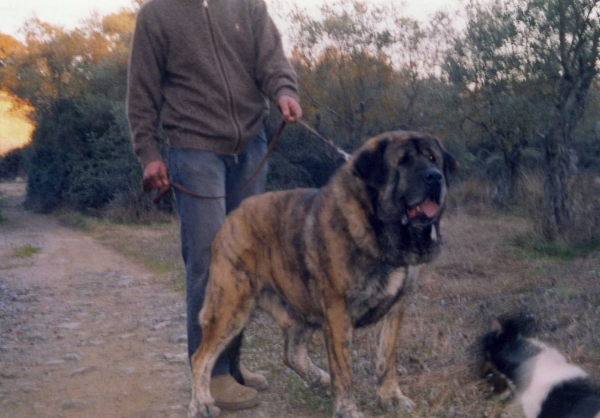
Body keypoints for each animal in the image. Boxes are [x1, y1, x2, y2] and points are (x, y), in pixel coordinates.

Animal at [190, 131, 458, 418]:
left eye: (432, 158)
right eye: (403, 162)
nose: (435, 177)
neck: (378, 228)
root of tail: (234, 213)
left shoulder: (395, 308)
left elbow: (387, 359)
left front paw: (391, 397)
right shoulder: (338, 310)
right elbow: (344, 368)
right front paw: (346, 408)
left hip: (298, 304)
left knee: (291, 354)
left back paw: (319, 377)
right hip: (231, 306)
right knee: (200, 357)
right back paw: (202, 402)